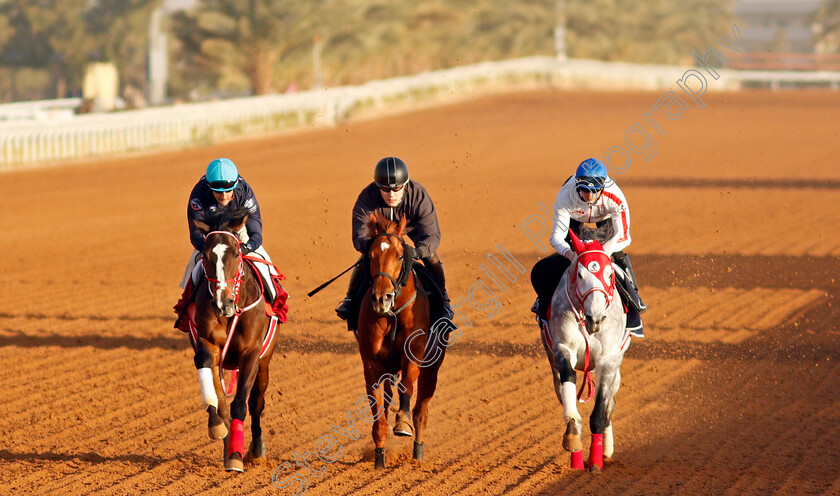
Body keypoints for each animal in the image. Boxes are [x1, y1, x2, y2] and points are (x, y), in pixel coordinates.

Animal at [191, 205, 280, 472]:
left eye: (235, 252)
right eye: (206, 255)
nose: (223, 302)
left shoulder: (251, 353)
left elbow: (241, 404)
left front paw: (237, 455)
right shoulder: (208, 344)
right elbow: (217, 400)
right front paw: (217, 429)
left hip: (264, 362)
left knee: (256, 403)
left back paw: (256, 450)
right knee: (222, 401)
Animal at [356, 213, 446, 468]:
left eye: (399, 255)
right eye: (371, 255)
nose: (381, 298)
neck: (392, 314)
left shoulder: (414, 355)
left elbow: (407, 388)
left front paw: (402, 423)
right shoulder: (372, 364)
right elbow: (378, 411)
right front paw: (379, 458)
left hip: (432, 369)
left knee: (421, 412)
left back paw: (417, 454)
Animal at [540, 231, 632, 470]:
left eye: (609, 274)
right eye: (580, 275)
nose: (596, 317)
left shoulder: (609, 360)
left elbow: (600, 411)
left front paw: (596, 462)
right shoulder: (562, 348)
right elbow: (569, 379)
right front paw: (573, 437)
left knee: (610, 404)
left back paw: (606, 449)